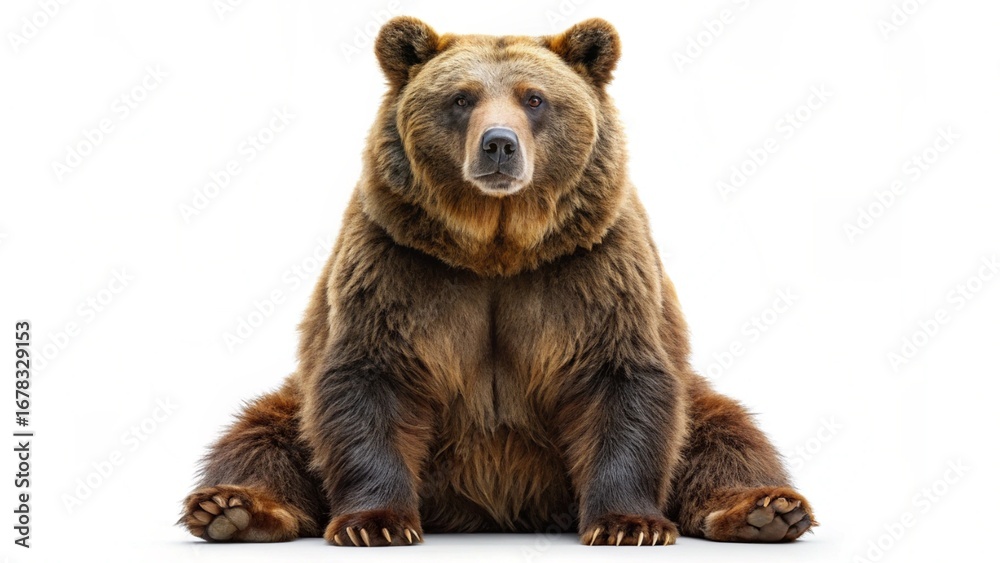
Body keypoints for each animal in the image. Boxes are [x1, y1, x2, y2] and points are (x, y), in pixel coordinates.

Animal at [180, 17, 815, 547]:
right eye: (461, 98)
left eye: (535, 98)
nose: (499, 145)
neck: (496, 249)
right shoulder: (398, 264)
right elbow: (370, 379)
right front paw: (375, 523)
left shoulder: (592, 268)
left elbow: (621, 381)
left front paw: (628, 524)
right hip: (301, 399)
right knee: (264, 435)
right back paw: (233, 509)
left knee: (724, 434)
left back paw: (764, 511)